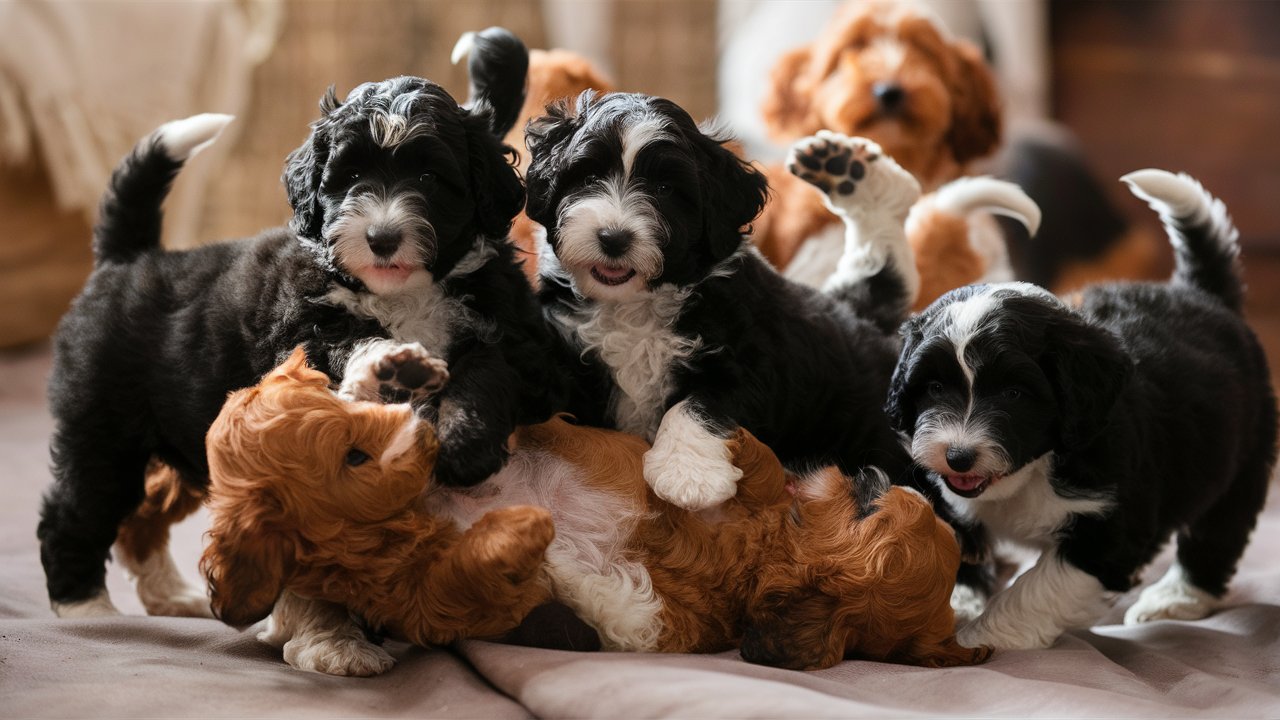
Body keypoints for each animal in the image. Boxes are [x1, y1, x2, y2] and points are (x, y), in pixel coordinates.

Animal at [524, 90, 926, 509]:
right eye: (588, 178)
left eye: (665, 190)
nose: (613, 238)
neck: (633, 302)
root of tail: (868, 324)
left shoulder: (753, 359)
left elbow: (697, 402)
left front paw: (686, 476)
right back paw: (855, 174)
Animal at [885, 169, 1274, 650]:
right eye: (934, 387)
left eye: (1014, 394)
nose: (958, 456)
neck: (1035, 468)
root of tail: (1201, 294)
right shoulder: (952, 502)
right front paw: (956, 607)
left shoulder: (1109, 528)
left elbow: (1038, 588)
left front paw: (978, 637)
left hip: (1239, 458)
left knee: (1217, 532)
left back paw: (1176, 598)